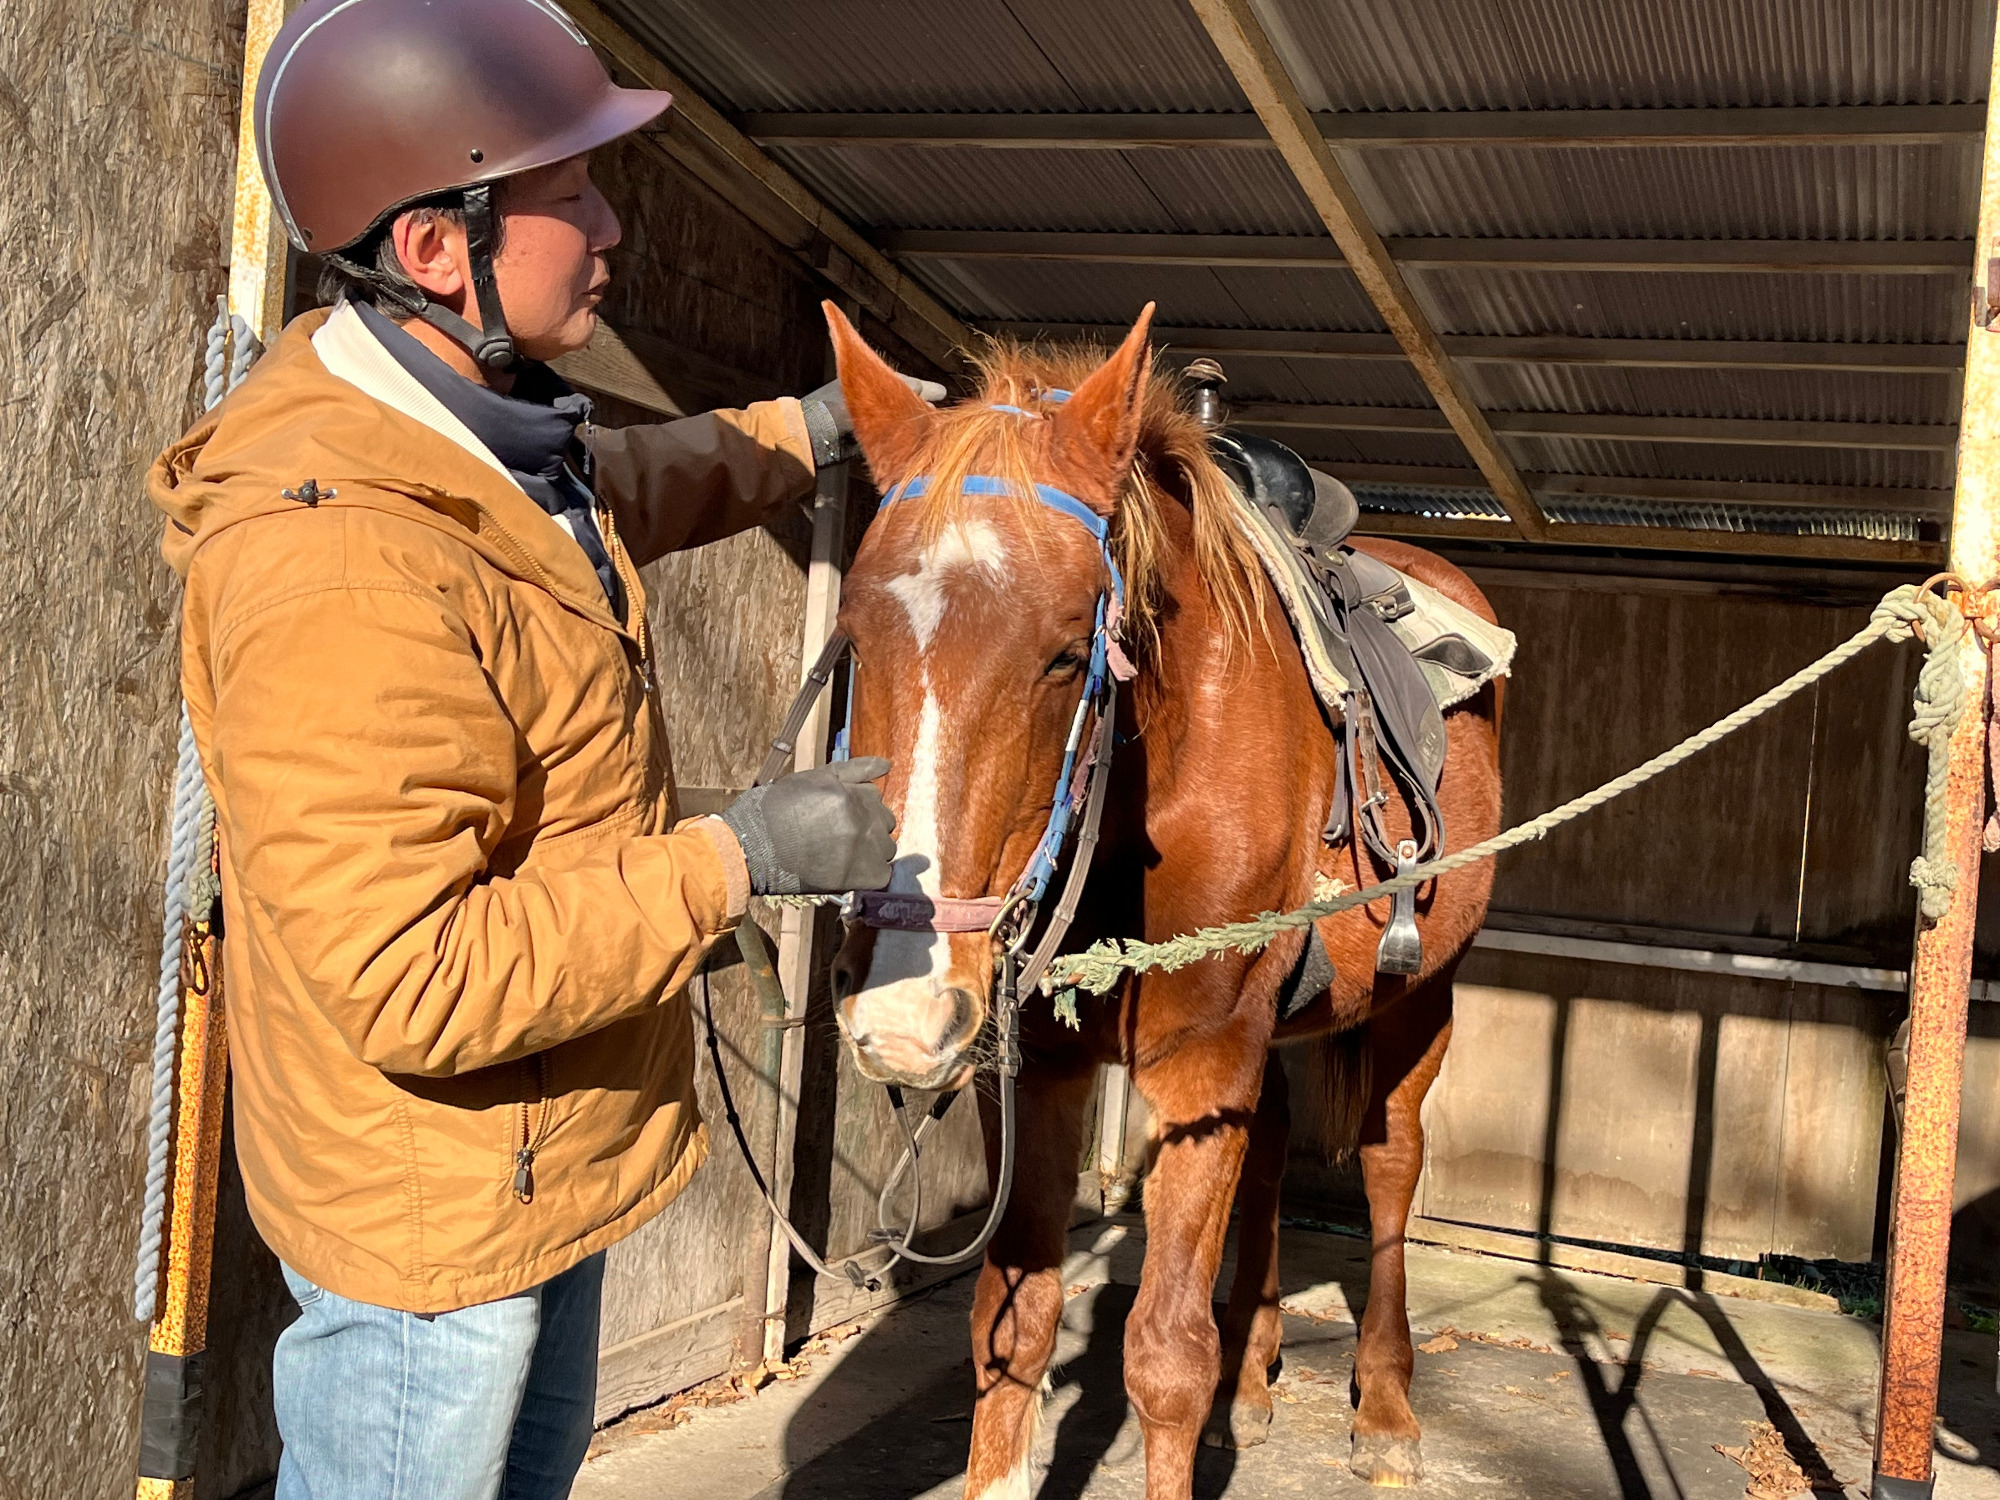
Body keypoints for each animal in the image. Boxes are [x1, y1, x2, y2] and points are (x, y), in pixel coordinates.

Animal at [816, 300, 1504, 1496]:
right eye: (857, 636)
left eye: (1064, 655)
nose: (903, 1015)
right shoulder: (1037, 1071)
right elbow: (1012, 1322)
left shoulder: (1200, 1060)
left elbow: (1165, 1356)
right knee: (1270, 1158)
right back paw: (1258, 1377)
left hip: (1418, 1000)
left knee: (1389, 1165)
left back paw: (1386, 1409)